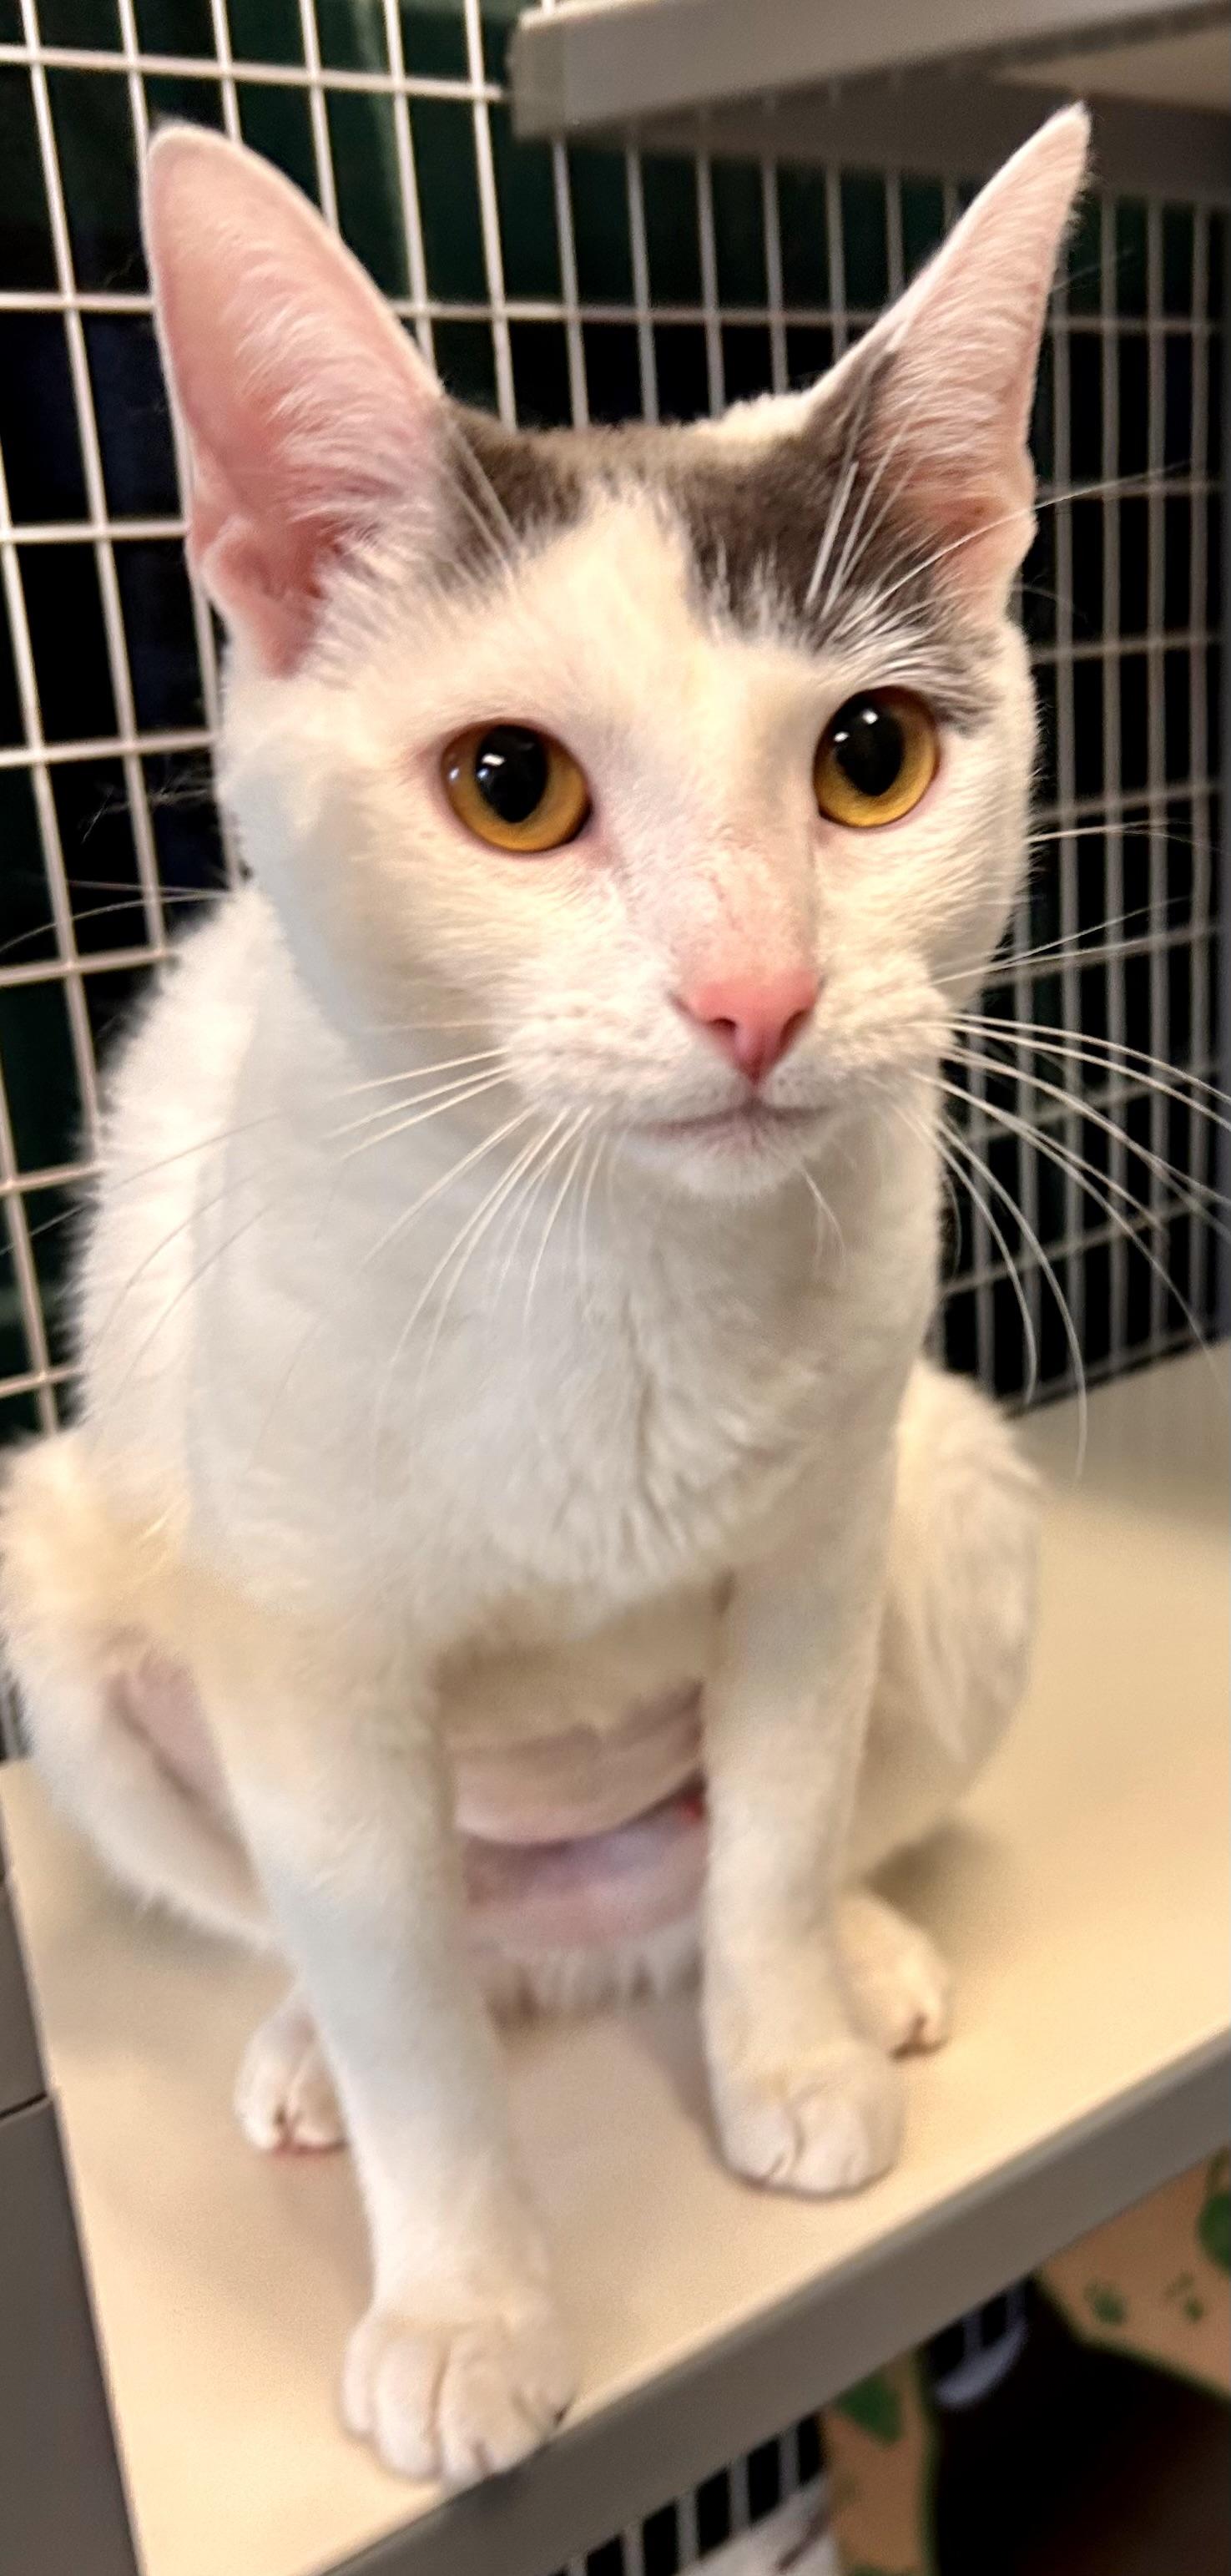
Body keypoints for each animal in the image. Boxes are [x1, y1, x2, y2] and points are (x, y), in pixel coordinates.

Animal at [0, 106, 1086, 2490]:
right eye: (510, 786)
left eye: (871, 756)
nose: (756, 993)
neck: (611, 1259)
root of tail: (581, 1948)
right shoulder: (316, 1673)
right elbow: (416, 2033)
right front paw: (466, 2304)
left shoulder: (815, 1546)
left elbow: (768, 1831)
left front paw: (786, 2046)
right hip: (62, 1577)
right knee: (386, 1953)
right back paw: (310, 2044)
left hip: (951, 1486)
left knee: (762, 1842)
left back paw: (845, 1957)